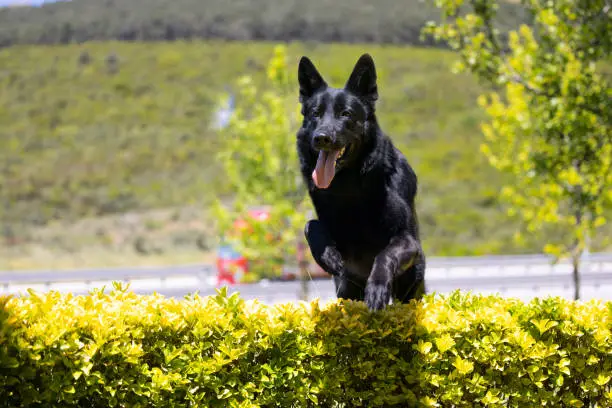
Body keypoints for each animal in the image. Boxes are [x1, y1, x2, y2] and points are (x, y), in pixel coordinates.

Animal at [296, 53, 426, 310]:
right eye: (315, 113)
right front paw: (328, 256)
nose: (321, 138)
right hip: (346, 290)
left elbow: (385, 255)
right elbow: (310, 224)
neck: (351, 188)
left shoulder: (408, 240)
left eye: (345, 114)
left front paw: (376, 288)